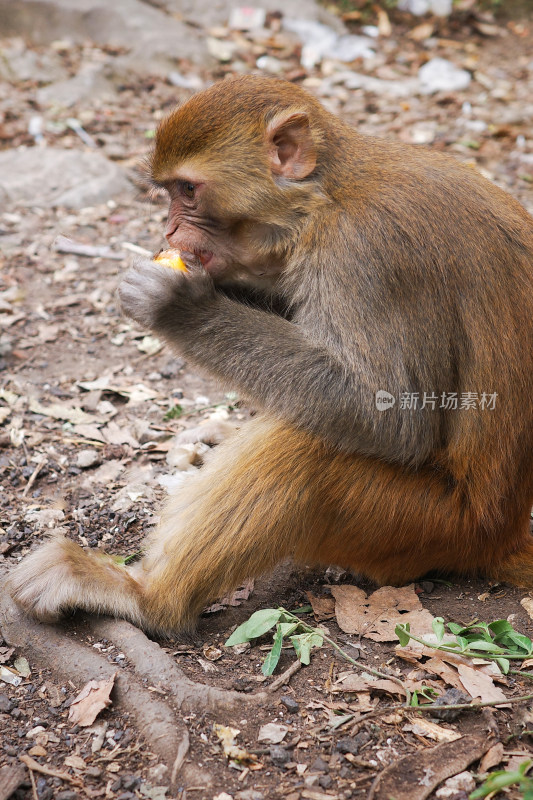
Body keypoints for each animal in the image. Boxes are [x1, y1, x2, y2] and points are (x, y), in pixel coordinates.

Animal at [7, 78, 532, 636]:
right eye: (168, 192)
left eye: (187, 190)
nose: (169, 233)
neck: (326, 197)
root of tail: (501, 534)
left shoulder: (367, 252)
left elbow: (390, 416)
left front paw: (181, 307)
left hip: (425, 525)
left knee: (307, 452)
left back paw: (149, 597)